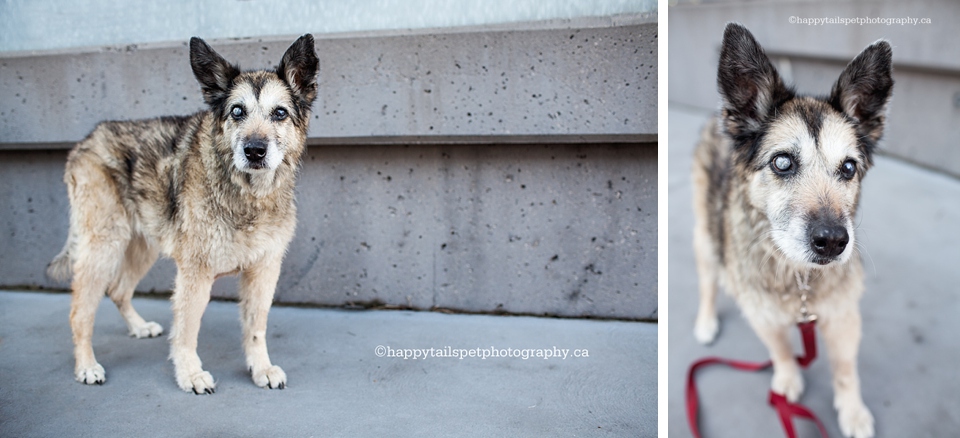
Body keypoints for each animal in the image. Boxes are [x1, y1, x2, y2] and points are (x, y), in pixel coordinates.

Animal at [47, 32, 318, 392]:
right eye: (237, 111)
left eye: (280, 113)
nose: (255, 151)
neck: (247, 193)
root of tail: (84, 142)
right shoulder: (195, 273)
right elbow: (187, 330)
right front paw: (189, 373)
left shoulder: (263, 270)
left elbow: (255, 327)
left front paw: (261, 367)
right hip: (104, 247)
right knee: (80, 312)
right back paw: (87, 366)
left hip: (142, 246)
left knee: (118, 290)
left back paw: (138, 327)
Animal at [688, 24, 892, 438]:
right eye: (782, 162)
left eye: (849, 168)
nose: (833, 242)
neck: (799, 279)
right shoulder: (762, 315)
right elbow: (781, 350)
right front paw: (787, 378)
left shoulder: (842, 316)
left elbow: (845, 369)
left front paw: (852, 411)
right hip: (705, 236)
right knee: (708, 282)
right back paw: (706, 321)